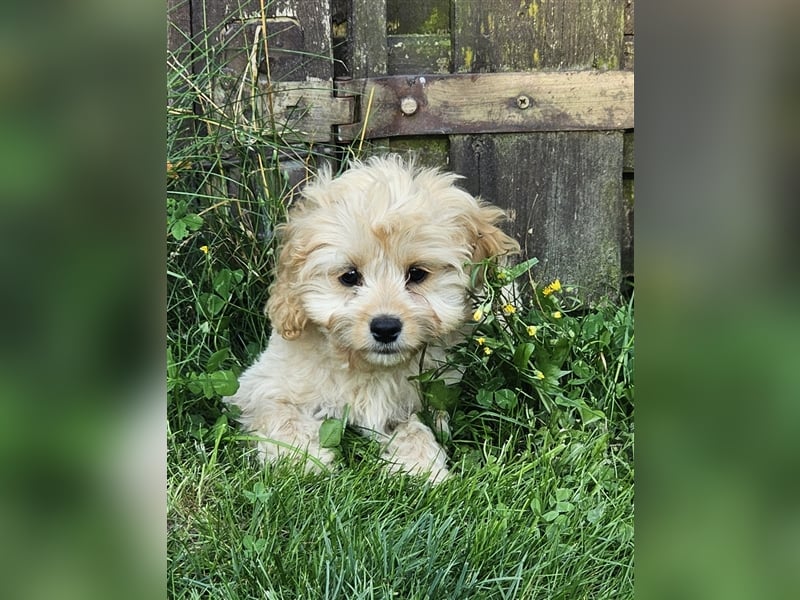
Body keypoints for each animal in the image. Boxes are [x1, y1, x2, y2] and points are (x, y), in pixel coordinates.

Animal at [228, 155, 520, 482]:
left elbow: (416, 427)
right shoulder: (261, 386)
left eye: (417, 274)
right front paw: (303, 460)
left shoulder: (428, 398)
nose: (385, 327)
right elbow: (280, 414)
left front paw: (423, 468)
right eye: (349, 276)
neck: (369, 367)